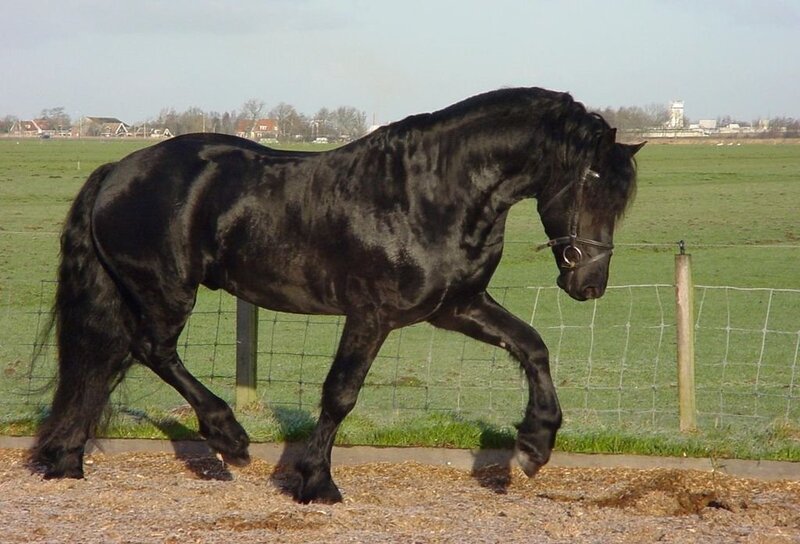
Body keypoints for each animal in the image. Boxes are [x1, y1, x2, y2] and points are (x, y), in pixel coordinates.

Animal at [30, 87, 643, 503]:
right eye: (590, 182)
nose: (588, 284)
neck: (428, 194)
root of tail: (117, 170)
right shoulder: (372, 315)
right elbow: (340, 394)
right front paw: (315, 482)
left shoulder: (456, 308)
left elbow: (532, 345)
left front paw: (535, 444)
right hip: (165, 290)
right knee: (149, 350)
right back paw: (228, 438)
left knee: (105, 361)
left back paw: (66, 459)